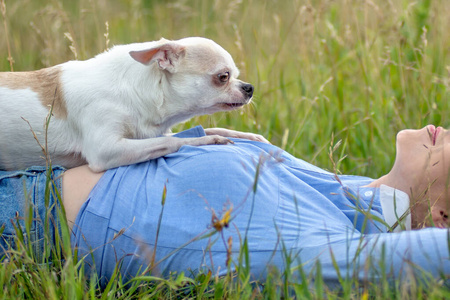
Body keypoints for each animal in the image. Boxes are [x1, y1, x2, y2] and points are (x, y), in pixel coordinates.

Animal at [0, 37, 268, 171]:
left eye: (235, 74)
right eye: (223, 77)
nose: (249, 88)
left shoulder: (143, 134)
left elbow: (198, 130)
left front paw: (247, 136)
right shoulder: (105, 151)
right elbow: (173, 141)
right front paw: (210, 141)